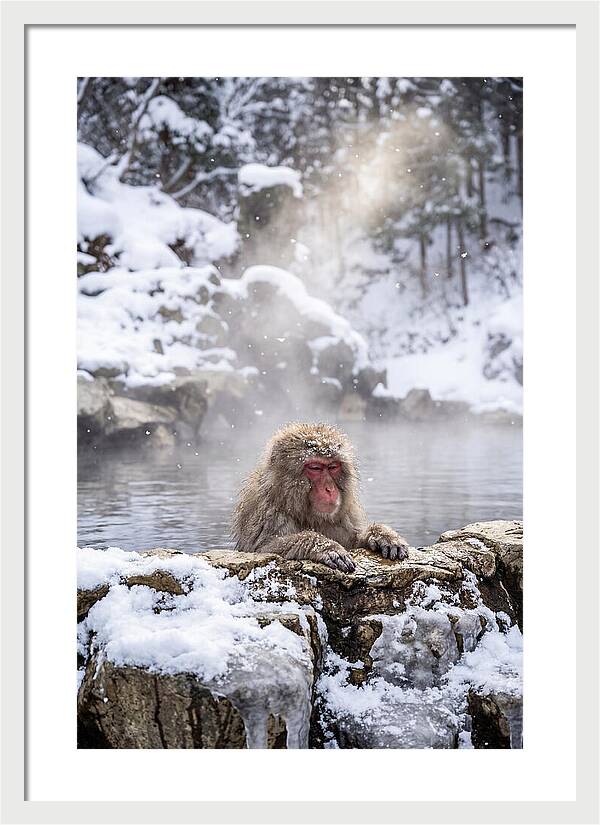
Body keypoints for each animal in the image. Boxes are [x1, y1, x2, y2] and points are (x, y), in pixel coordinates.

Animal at [232, 422, 410, 573]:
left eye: (333, 467)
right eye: (315, 468)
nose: (329, 489)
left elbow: (353, 541)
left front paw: (381, 535)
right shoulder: (267, 512)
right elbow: (263, 549)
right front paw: (325, 547)